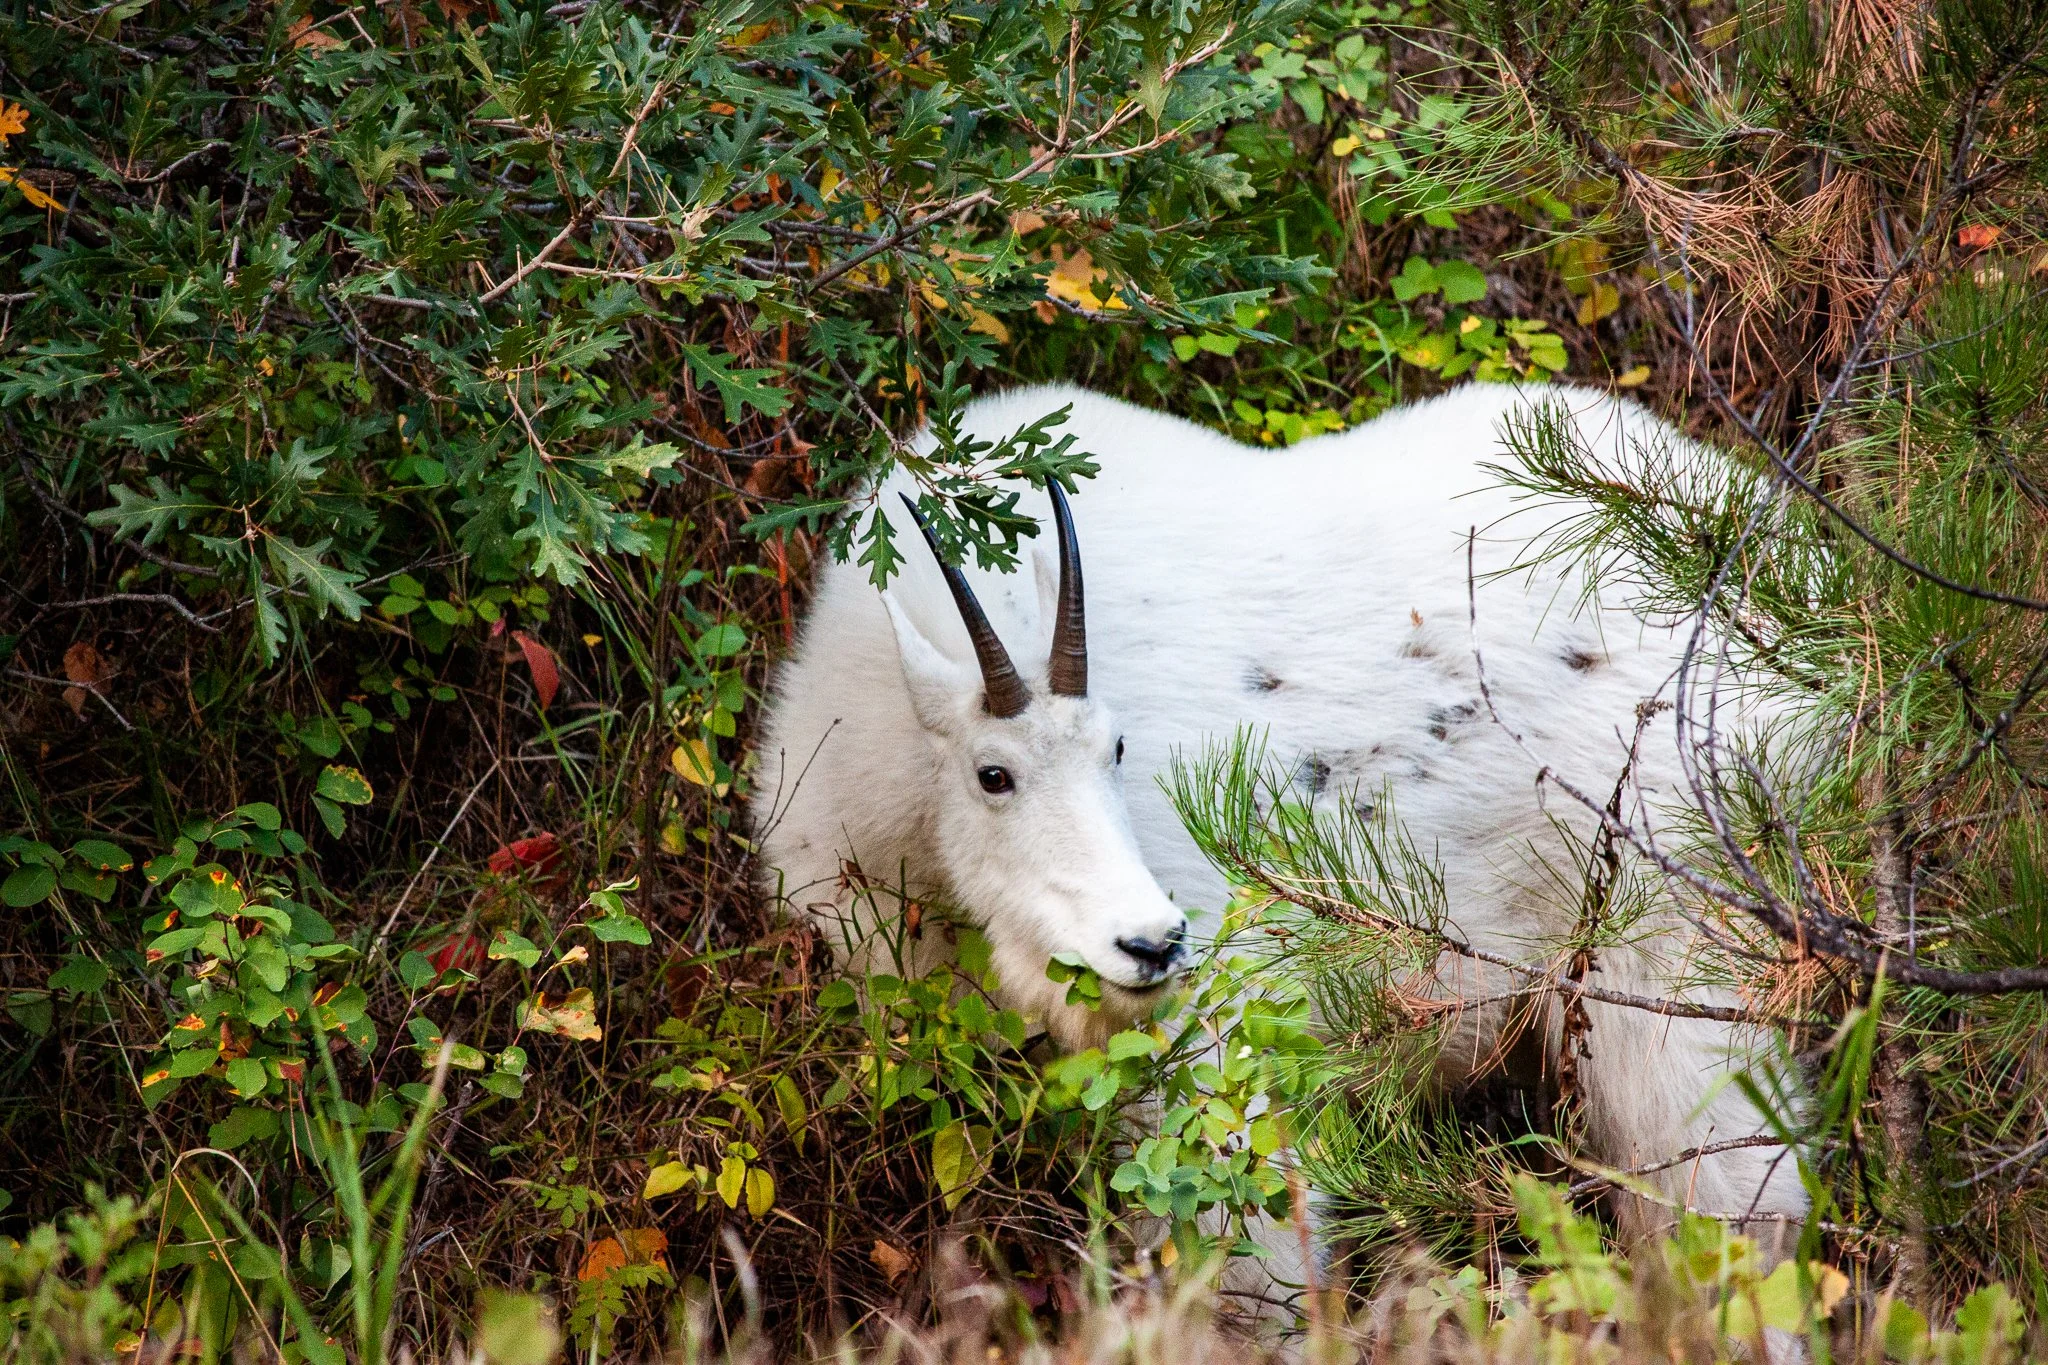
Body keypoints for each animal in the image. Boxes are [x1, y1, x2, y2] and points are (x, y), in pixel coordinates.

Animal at [751, 380, 1807, 1271]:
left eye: (1120, 746)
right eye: (994, 775)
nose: (1152, 942)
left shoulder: (1221, 1038)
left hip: (1671, 963)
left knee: (1736, 1207)